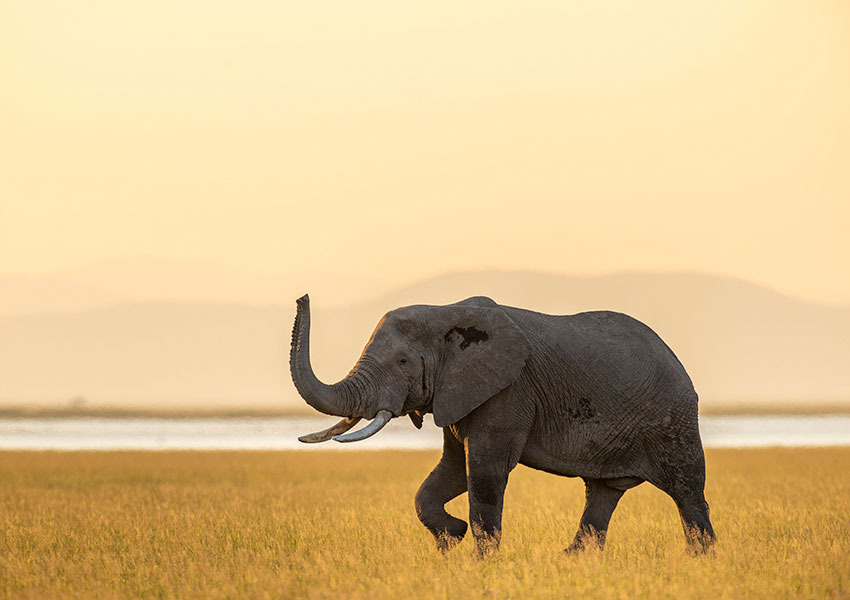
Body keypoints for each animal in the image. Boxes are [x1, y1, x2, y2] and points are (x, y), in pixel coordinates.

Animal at [288, 292, 712, 556]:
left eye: (403, 362)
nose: (302, 297)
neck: (445, 314)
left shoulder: (508, 391)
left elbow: (484, 472)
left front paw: (482, 561)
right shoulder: (459, 392)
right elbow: (449, 471)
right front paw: (451, 539)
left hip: (673, 418)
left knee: (687, 491)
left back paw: (699, 560)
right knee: (602, 494)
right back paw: (572, 561)